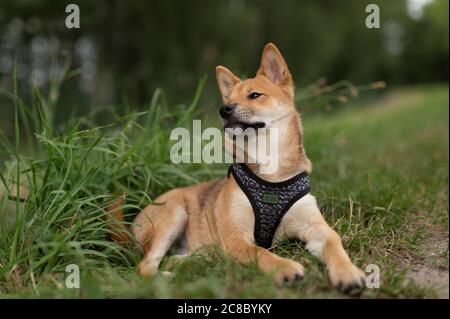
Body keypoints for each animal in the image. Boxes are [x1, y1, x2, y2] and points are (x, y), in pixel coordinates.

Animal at [110, 43, 368, 294]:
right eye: (226, 101)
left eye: (254, 95)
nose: (224, 109)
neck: (270, 171)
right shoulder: (237, 238)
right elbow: (261, 253)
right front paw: (284, 267)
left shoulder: (314, 227)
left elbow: (334, 243)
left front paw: (347, 272)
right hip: (174, 213)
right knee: (144, 266)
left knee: (173, 259)